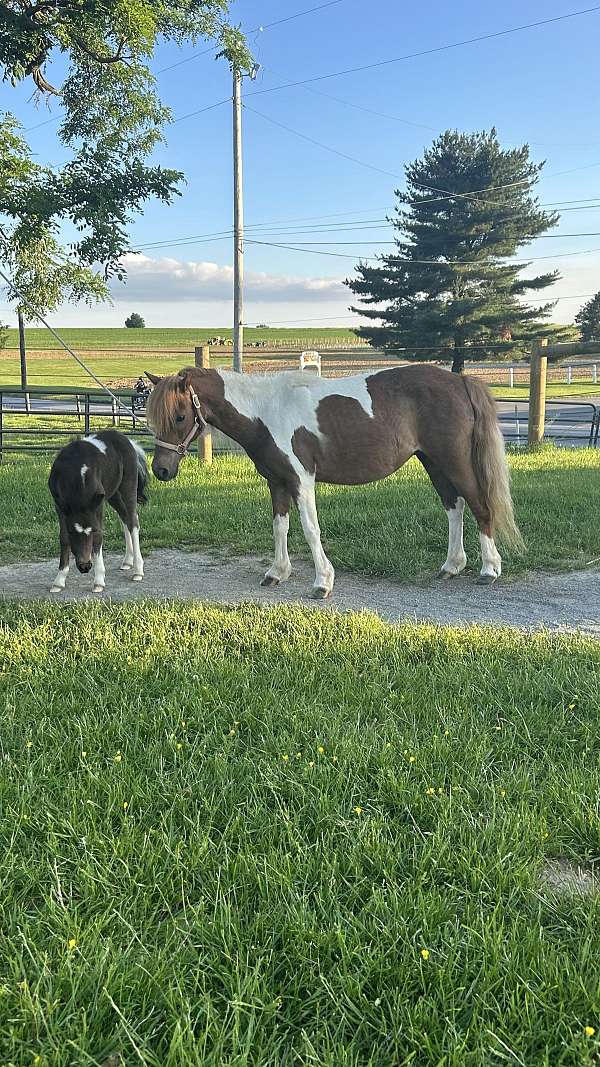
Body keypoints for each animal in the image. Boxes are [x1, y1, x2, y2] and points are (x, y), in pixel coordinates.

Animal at [48, 430, 147, 594]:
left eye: (92, 531)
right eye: (72, 532)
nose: (85, 566)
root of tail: (128, 440)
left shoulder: (96, 506)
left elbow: (99, 538)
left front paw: (99, 581)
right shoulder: (60, 506)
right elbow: (63, 538)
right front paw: (59, 581)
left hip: (128, 487)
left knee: (133, 522)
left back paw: (138, 570)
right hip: (113, 495)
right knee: (125, 518)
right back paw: (128, 561)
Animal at [145, 364, 522, 598]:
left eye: (180, 416)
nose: (161, 470)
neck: (267, 411)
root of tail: (461, 381)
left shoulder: (301, 480)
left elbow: (310, 529)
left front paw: (322, 582)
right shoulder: (276, 482)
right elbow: (280, 528)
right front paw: (277, 573)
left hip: (454, 461)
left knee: (479, 505)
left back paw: (489, 569)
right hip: (433, 462)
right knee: (453, 507)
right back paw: (451, 566)